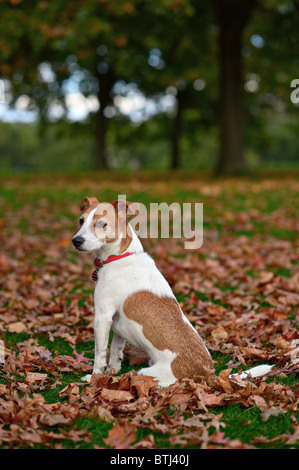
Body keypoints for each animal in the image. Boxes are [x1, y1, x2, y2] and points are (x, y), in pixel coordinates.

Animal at [73, 196, 274, 388]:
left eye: (102, 224)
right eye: (81, 220)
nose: (76, 241)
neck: (120, 256)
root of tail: (208, 374)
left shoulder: (102, 317)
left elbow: (100, 355)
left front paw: (95, 378)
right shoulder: (116, 324)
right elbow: (115, 353)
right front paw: (110, 372)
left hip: (145, 373)